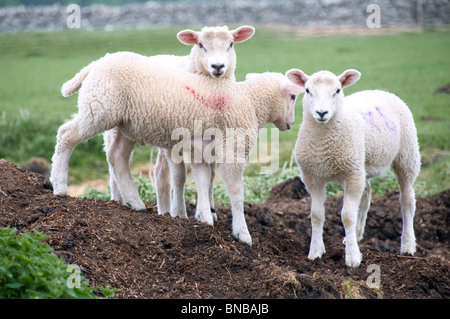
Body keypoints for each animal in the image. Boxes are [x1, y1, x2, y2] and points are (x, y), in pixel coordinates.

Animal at [50, 52, 302, 248]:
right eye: (292, 96)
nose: (290, 124)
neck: (251, 102)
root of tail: (94, 64)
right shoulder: (233, 148)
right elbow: (236, 192)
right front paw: (242, 234)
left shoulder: (202, 150)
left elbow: (203, 182)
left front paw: (203, 218)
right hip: (99, 108)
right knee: (66, 135)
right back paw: (60, 186)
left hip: (125, 125)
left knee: (117, 157)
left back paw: (136, 203)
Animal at [103, 25, 256, 225]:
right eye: (201, 45)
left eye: (231, 44)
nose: (217, 66)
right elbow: (179, 176)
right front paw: (180, 214)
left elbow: (211, 175)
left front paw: (210, 211)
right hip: (116, 129)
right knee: (115, 164)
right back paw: (119, 201)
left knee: (158, 172)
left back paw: (163, 209)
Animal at [288, 69, 422, 268]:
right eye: (307, 90)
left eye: (337, 90)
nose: (321, 112)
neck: (323, 146)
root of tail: (379, 91)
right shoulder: (313, 177)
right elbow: (316, 215)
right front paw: (315, 252)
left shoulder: (351, 175)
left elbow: (347, 216)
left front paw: (352, 258)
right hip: (360, 165)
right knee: (366, 194)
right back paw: (357, 235)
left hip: (406, 156)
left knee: (407, 200)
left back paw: (407, 245)